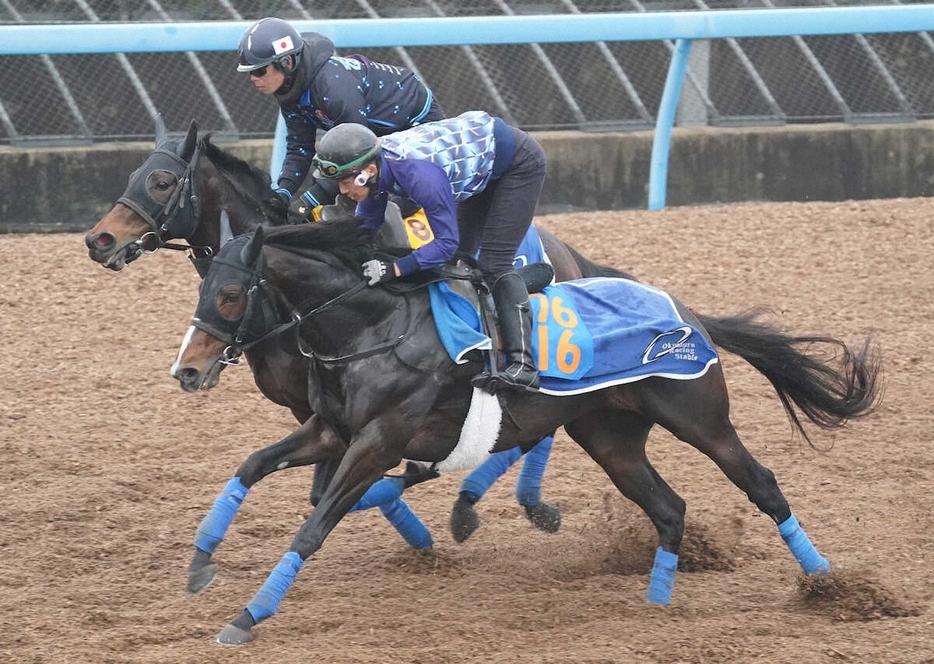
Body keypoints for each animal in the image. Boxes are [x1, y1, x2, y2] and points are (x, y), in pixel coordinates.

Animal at [174, 222, 884, 644]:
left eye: (232, 295)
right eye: (202, 288)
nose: (187, 370)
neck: (371, 327)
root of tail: (685, 310)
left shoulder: (378, 441)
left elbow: (314, 525)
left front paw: (247, 617)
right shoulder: (332, 431)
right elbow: (251, 464)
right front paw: (201, 562)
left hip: (700, 420)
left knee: (761, 483)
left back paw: (829, 584)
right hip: (609, 438)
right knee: (669, 507)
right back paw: (657, 603)